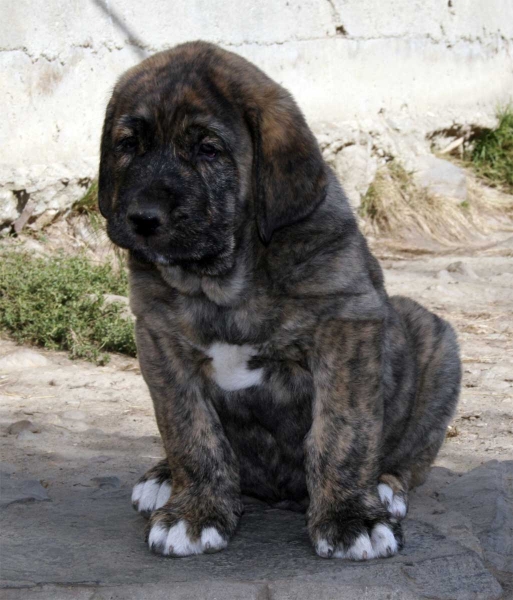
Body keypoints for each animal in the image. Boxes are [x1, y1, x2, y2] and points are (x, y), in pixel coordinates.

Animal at [97, 41, 460, 556]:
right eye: (129, 145)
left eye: (208, 149)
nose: (143, 217)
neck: (227, 282)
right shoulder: (158, 339)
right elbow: (190, 431)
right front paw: (196, 511)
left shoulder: (347, 327)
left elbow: (342, 430)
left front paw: (350, 517)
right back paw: (164, 477)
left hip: (437, 341)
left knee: (407, 458)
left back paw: (385, 486)